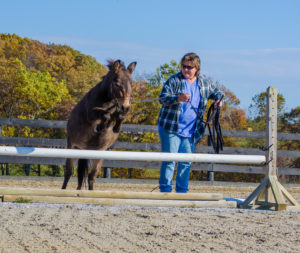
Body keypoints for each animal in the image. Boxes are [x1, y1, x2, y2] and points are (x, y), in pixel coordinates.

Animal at [62, 59, 137, 190]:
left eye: (131, 84)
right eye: (117, 83)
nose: (126, 107)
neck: (108, 100)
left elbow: (118, 118)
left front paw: (115, 127)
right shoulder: (91, 114)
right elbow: (104, 115)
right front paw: (100, 126)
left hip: (97, 153)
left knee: (90, 176)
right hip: (73, 147)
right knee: (68, 172)